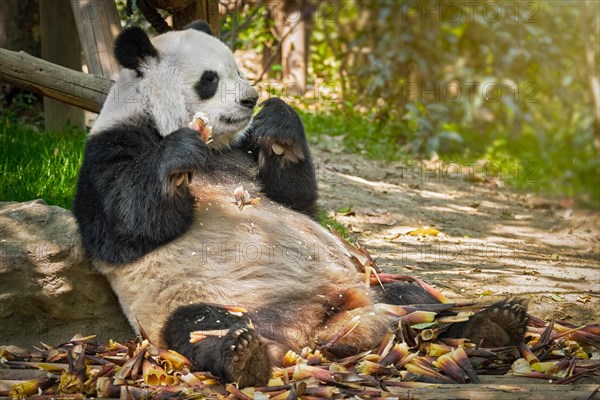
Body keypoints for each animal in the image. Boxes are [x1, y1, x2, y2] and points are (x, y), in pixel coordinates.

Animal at [72, 21, 528, 388]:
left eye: (239, 69)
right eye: (209, 79)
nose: (250, 99)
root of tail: (314, 328)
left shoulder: (242, 151)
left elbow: (297, 199)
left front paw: (279, 120)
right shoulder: (108, 149)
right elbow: (123, 227)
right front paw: (179, 154)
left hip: (371, 283)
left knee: (419, 300)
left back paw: (491, 324)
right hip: (193, 297)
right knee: (203, 325)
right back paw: (244, 356)